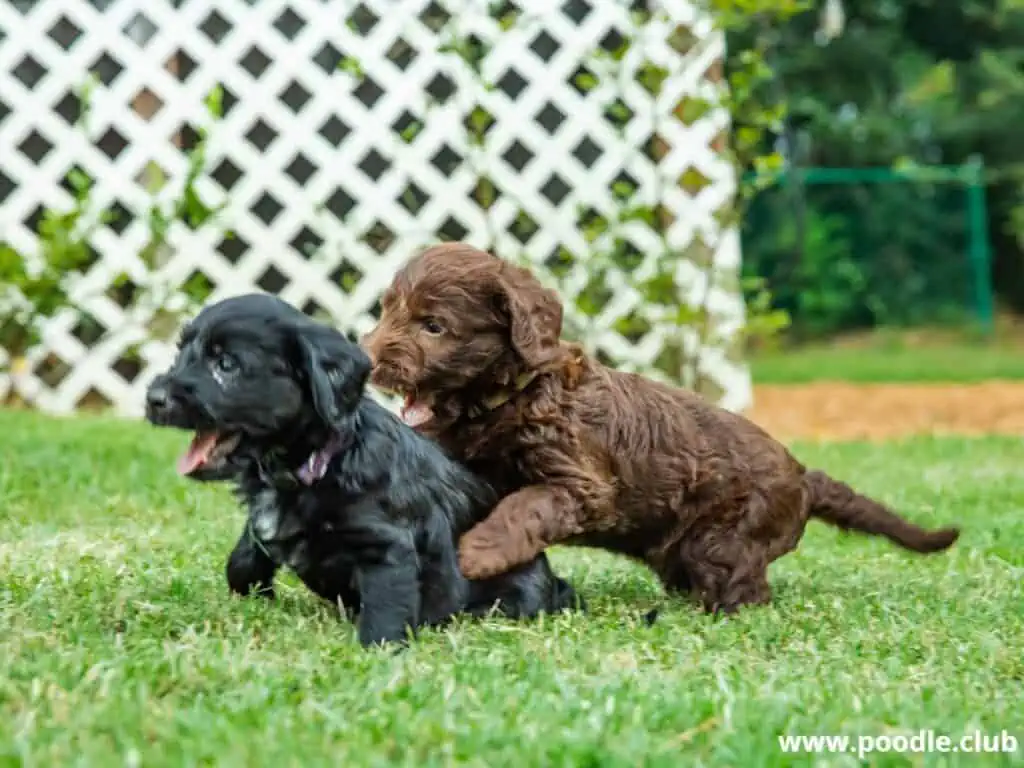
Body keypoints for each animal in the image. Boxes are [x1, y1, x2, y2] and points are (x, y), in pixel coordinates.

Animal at [142, 294, 585, 651]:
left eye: (227, 364)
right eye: (181, 354)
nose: (153, 397)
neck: (317, 461)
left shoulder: (387, 544)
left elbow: (386, 604)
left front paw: (379, 650)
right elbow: (244, 556)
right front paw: (249, 596)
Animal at [362, 243, 958, 618]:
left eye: (433, 326)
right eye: (387, 310)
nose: (369, 359)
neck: (511, 395)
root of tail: (805, 478)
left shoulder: (581, 484)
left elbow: (524, 507)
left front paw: (480, 553)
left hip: (726, 537)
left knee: (746, 586)